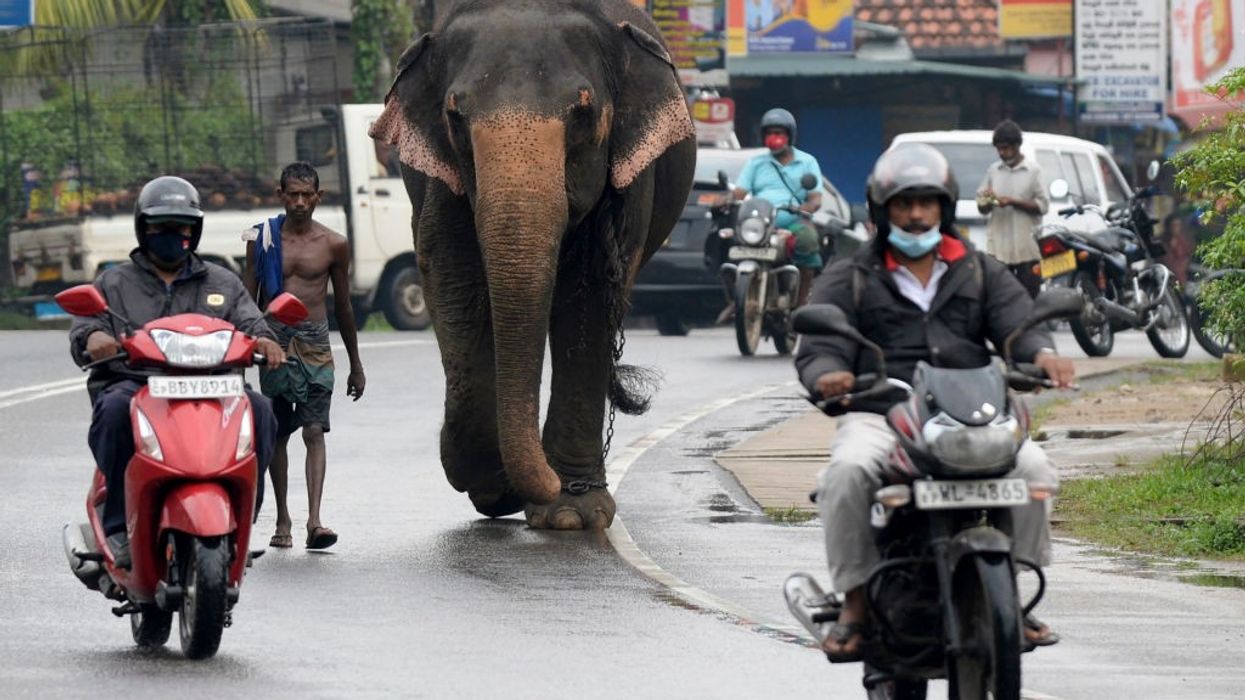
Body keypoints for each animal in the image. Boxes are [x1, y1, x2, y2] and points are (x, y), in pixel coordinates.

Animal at [368, 0, 696, 530]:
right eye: (454, 116)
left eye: (583, 112)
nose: (549, 483)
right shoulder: (439, 176)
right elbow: (452, 272)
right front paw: (493, 486)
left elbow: (587, 293)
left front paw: (572, 515)